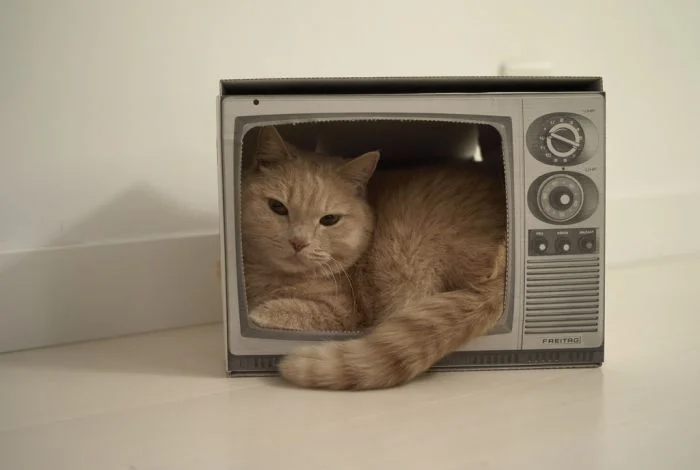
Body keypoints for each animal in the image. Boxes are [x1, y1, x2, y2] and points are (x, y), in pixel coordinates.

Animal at [240, 126, 507, 390]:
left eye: (329, 219)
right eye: (277, 207)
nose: (298, 242)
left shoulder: (342, 313)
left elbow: (298, 310)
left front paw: (261, 311)